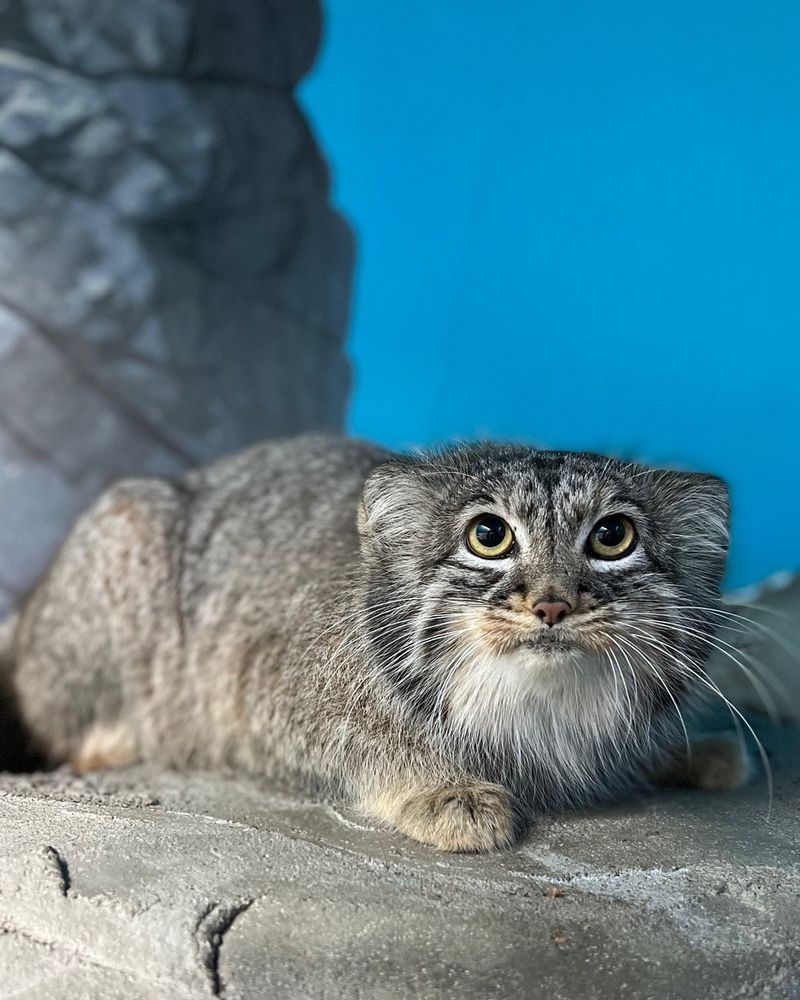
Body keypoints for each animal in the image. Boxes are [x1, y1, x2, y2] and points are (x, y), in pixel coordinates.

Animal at [3, 434, 748, 848]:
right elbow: (365, 741)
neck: (540, 712)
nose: (551, 604)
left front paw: (687, 748)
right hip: (129, 519)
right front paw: (445, 791)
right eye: (488, 536)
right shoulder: (256, 689)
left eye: (612, 537)